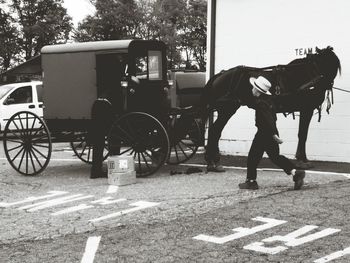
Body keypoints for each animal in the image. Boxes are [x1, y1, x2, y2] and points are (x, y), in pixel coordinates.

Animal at [200, 46, 342, 170]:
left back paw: (212, 162)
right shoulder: (306, 109)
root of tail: (219, 75)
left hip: (225, 110)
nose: (327, 84)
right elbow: (302, 134)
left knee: (215, 131)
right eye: (324, 62)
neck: (308, 74)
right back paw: (212, 161)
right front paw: (303, 160)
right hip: (227, 109)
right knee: (215, 131)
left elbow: (302, 134)